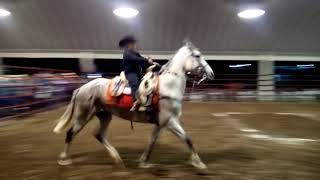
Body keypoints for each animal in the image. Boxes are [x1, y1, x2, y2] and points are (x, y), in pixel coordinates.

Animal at [54, 41, 215, 169]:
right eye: (197, 55)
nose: (211, 73)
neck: (168, 86)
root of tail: (81, 88)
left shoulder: (160, 124)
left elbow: (152, 142)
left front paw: (144, 162)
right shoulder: (170, 121)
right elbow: (188, 138)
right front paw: (199, 163)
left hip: (104, 115)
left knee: (99, 134)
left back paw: (117, 158)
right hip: (83, 116)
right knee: (70, 133)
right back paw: (64, 159)